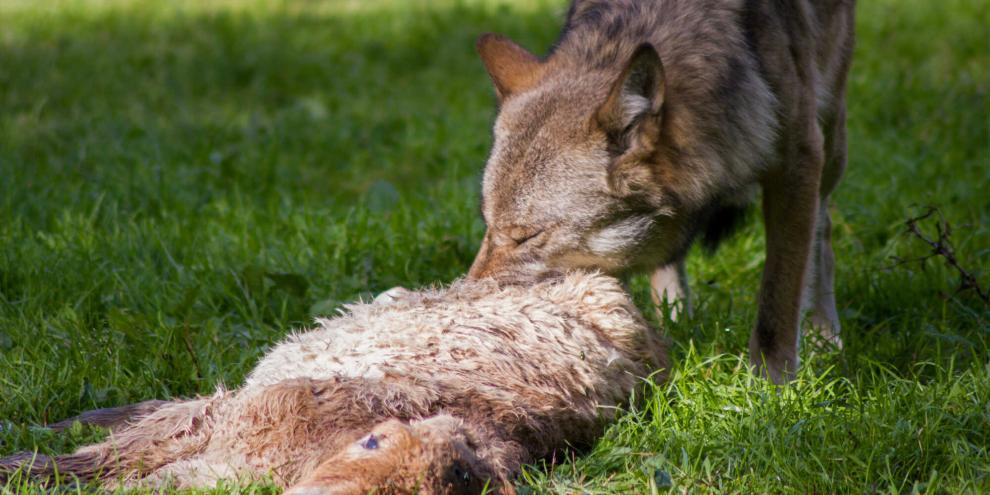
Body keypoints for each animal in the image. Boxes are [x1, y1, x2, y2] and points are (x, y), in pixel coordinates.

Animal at [468, 0, 856, 384]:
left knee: (822, 235)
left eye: (527, 236)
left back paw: (824, 336)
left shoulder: (798, 162)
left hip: (831, 142)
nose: (467, 299)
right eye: (488, 225)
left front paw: (771, 388)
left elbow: (777, 303)